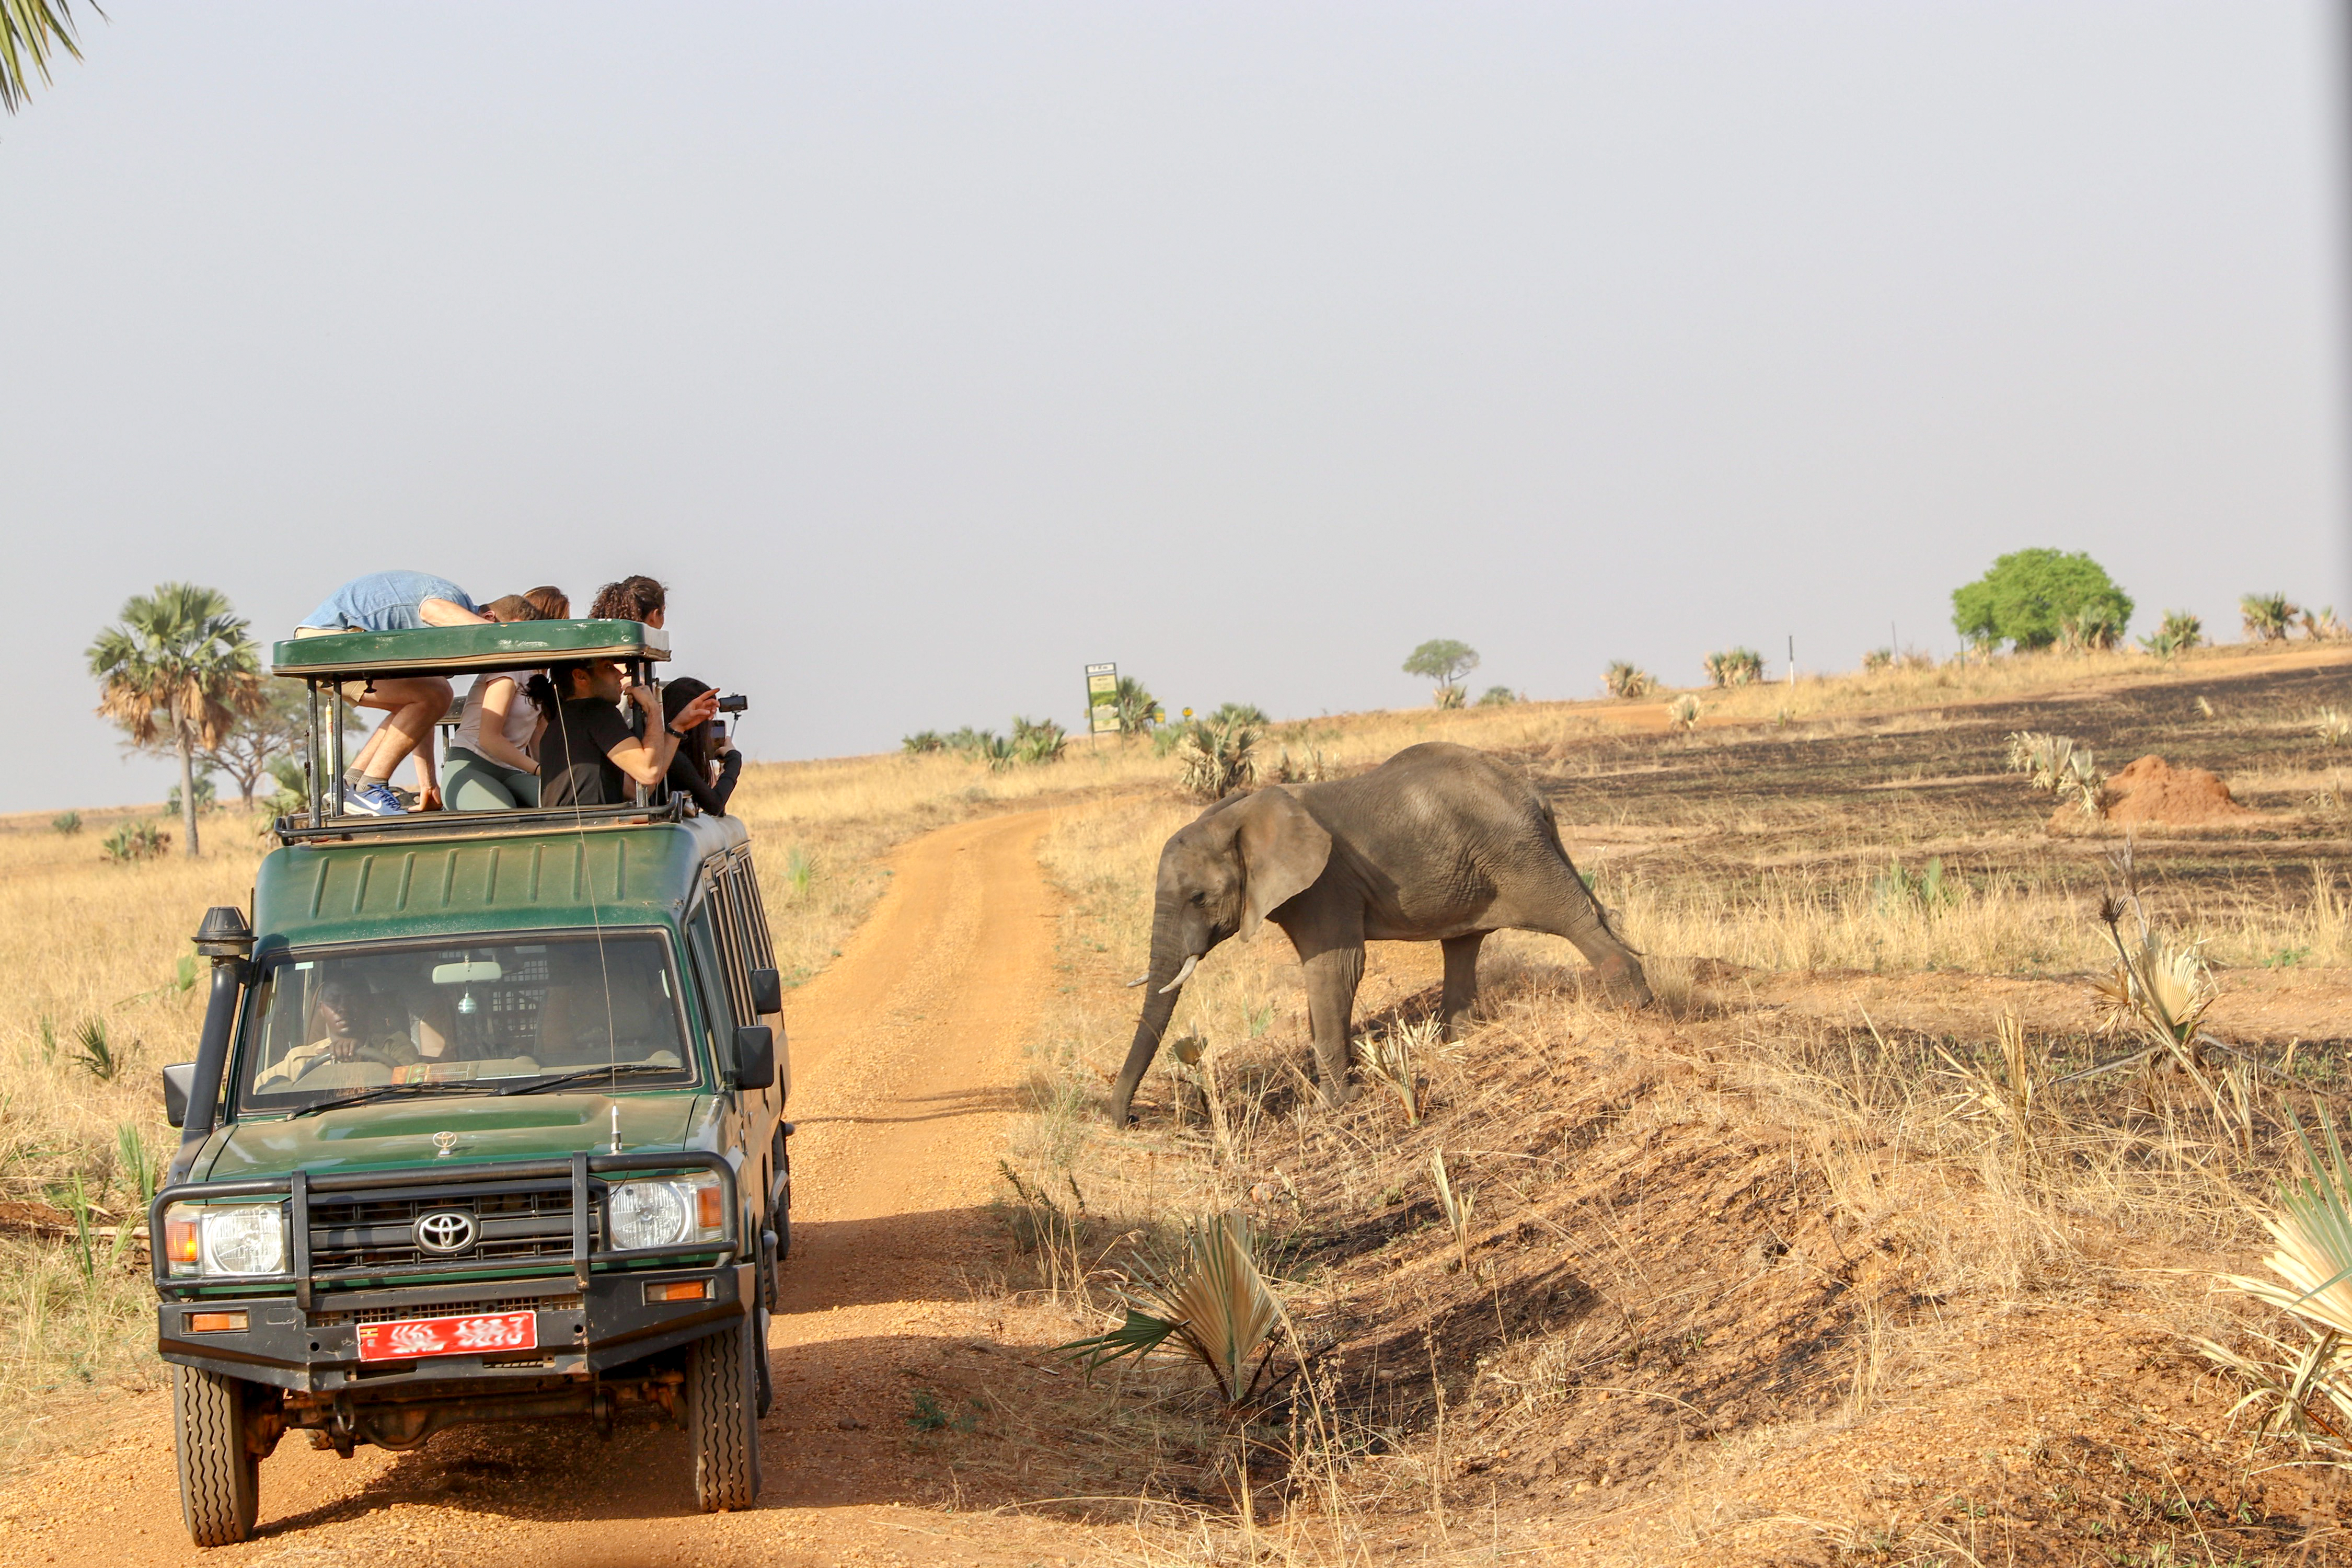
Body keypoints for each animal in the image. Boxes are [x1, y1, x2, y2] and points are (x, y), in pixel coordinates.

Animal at [1105, 743, 1646, 1123]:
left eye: (1198, 898)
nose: (1130, 1120)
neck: (1240, 814)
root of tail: (1534, 793)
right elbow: (1325, 975)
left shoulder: (1325, 883)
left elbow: (1334, 969)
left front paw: (1330, 1108)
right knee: (1463, 945)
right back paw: (1459, 1043)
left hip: (1517, 853)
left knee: (1574, 919)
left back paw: (1636, 1011)